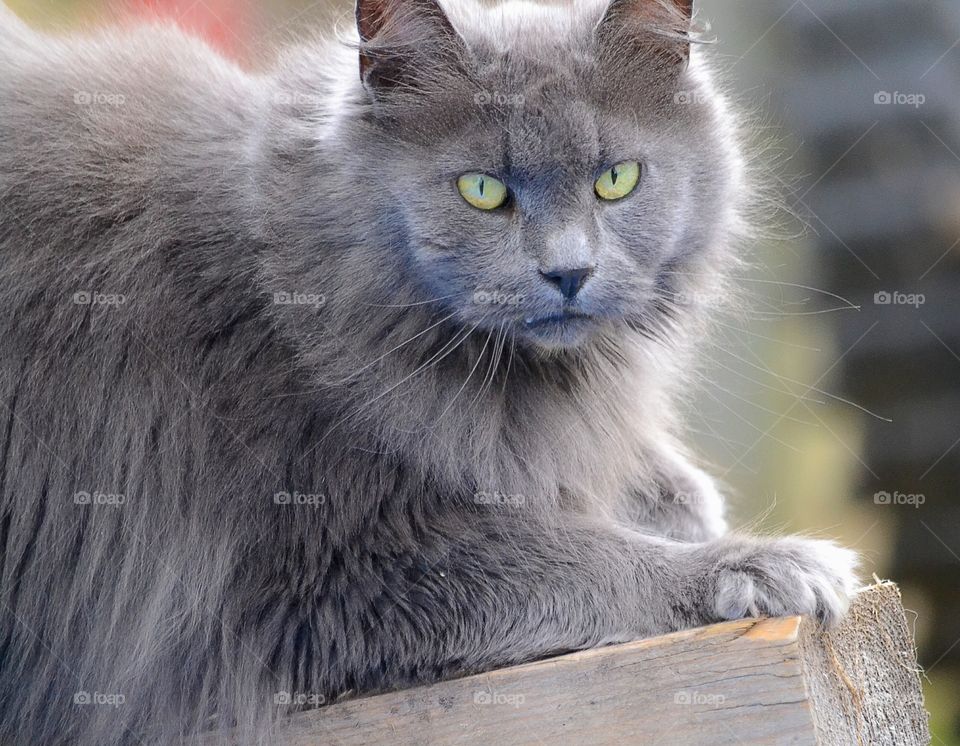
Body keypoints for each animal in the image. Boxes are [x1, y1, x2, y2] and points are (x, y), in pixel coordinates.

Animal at [0, 0, 856, 740]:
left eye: (617, 180)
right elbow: (592, 560)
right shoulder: (331, 569)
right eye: (482, 191)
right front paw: (771, 565)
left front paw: (684, 503)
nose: (569, 271)